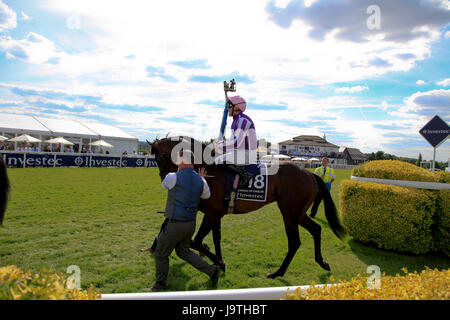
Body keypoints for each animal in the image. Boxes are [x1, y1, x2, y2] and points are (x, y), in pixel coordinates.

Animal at [149, 136, 346, 278]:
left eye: (160, 157)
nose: (165, 179)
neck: (208, 170)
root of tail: (310, 174)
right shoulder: (216, 214)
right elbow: (216, 238)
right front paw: (219, 260)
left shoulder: (211, 214)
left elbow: (196, 241)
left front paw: (218, 261)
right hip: (298, 214)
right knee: (316, 229)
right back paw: (322, 262)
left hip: (289, 214)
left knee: (294, 242)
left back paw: (278, 272)